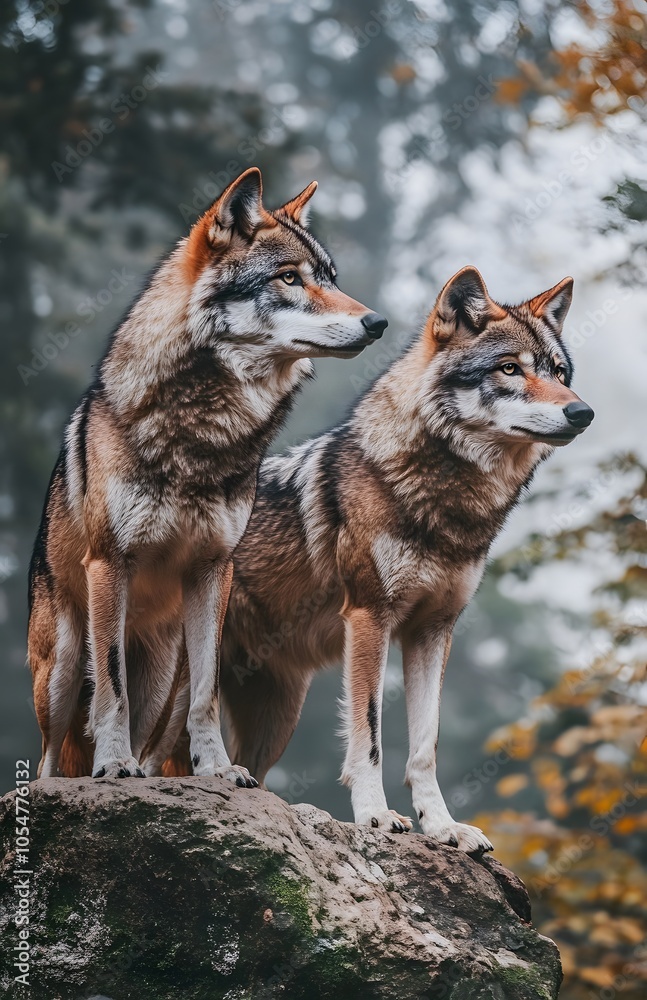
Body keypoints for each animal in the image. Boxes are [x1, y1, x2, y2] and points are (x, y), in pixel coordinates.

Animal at [29, 166, 387, 783]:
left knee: (151, 736)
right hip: (63, 667)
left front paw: (218, 769)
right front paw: (114, 764)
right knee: (55, 757)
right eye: (289, 278)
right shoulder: (110, 562)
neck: (205, 434)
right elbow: (111, 689)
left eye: (330, 278)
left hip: (160, 676)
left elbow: (207, 691)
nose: (377, 322)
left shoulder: (213, 568)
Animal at [214, 266, 594, 850]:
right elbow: (369, 735)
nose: (582, 411)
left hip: (276, 717)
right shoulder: (370, 617)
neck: (448, 504)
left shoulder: (433, 630)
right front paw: (374, 815)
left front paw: (443, 827)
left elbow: (425, 745)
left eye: (558, 371)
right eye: (510, 368)